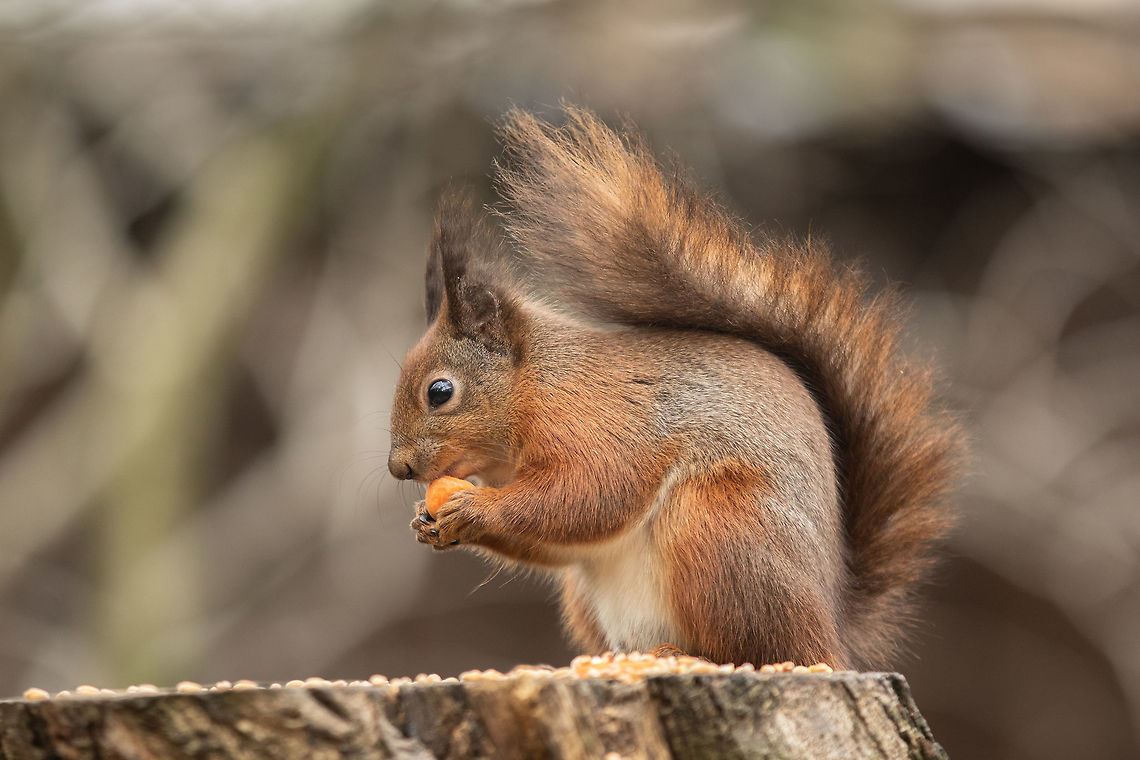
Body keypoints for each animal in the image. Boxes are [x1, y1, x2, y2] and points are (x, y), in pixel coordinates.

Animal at [387, 107, 963, 670]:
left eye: (440, 392)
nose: (399, 469)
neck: (535, 383)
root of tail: (833, 632)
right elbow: (559, 541)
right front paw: (428, 523)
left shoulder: (599, 420)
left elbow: (589, 492)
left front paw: (473, 509)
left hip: (718, 532)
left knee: (761, 650)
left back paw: (688, 655)